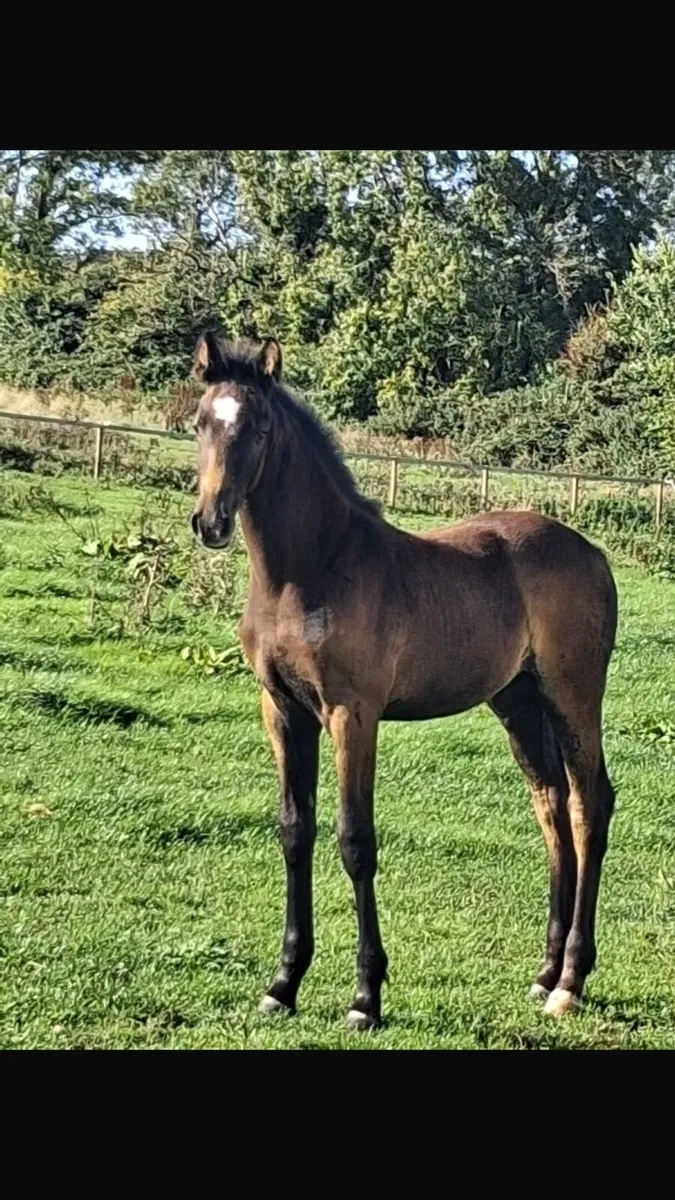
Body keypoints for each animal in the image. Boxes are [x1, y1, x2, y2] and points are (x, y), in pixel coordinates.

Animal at [190, 332, 618, 1031]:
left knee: (589, 807)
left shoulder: (351, 713)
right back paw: (544, 973)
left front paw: (366, 997)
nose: (210, 523)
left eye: (257, 428)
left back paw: (571, 983)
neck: (308, 571)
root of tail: (593, 552)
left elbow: (355, 839)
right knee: (550, 807)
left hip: (573, 695)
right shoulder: (282, 709)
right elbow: (294, 831)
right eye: (200, 421)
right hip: (518, 703)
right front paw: (283, 984)